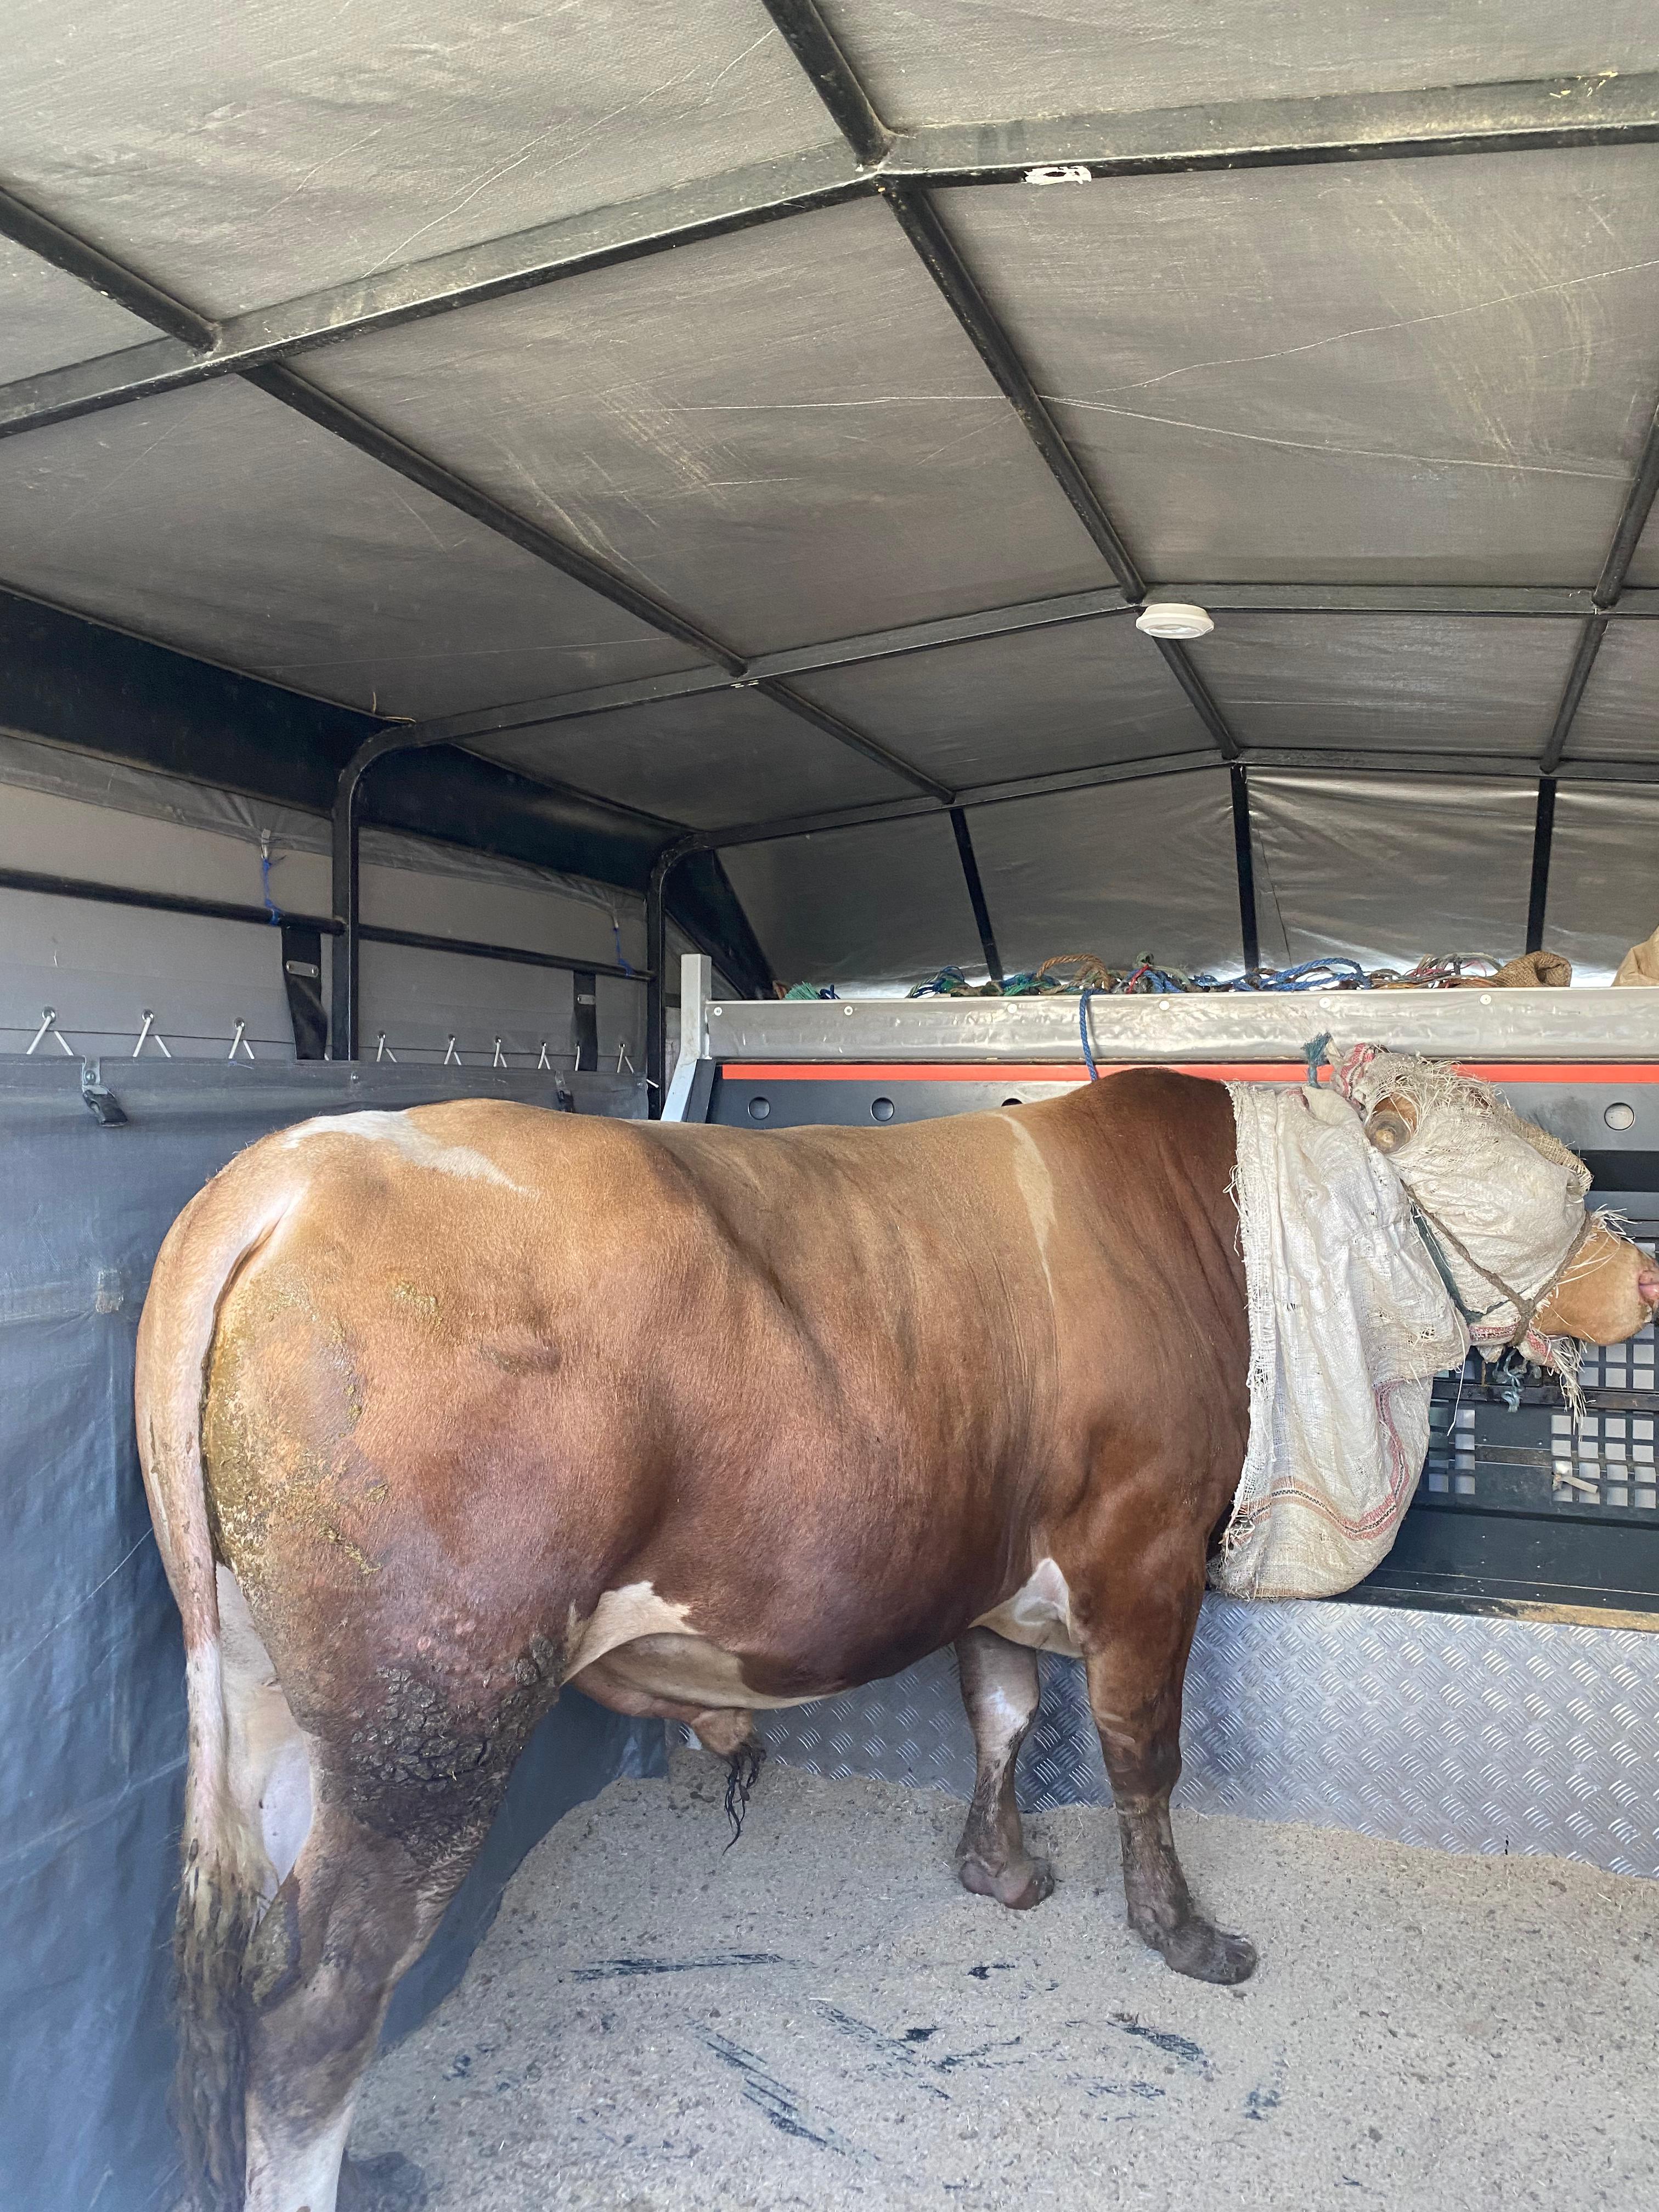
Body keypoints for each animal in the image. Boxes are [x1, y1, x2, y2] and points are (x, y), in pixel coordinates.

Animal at [135, 1067, 1658, 2212]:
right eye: (1554, 1176)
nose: (1643, 1277)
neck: (1218, 1230)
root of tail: (291, 1168)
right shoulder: (1146, 1552)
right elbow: (1141, 1755)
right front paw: (1183, 1937)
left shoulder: (989, 1568)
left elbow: (1004, 1713)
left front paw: (1001, 1872)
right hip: (430, 1719)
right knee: (313, 2016)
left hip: (272, 1699)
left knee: (251, 1970)